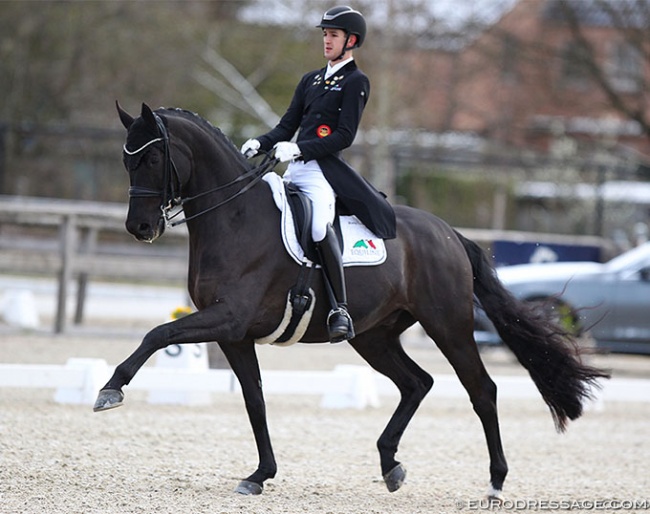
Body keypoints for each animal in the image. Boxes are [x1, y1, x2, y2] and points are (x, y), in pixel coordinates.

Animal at [96, 103, 608, 496]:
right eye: (125, 160)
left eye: (153, 157)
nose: (140, 228)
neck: (235, 216)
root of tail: (448, 234)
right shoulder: (234, 334)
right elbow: (254, 400)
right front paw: (260, 475)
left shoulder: (227, 318)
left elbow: (159, 333)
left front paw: (110, 389)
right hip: (374, 336)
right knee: (417, 383)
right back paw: (390, 465)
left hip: (448, 325)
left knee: (481, 390)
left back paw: (496, 483)